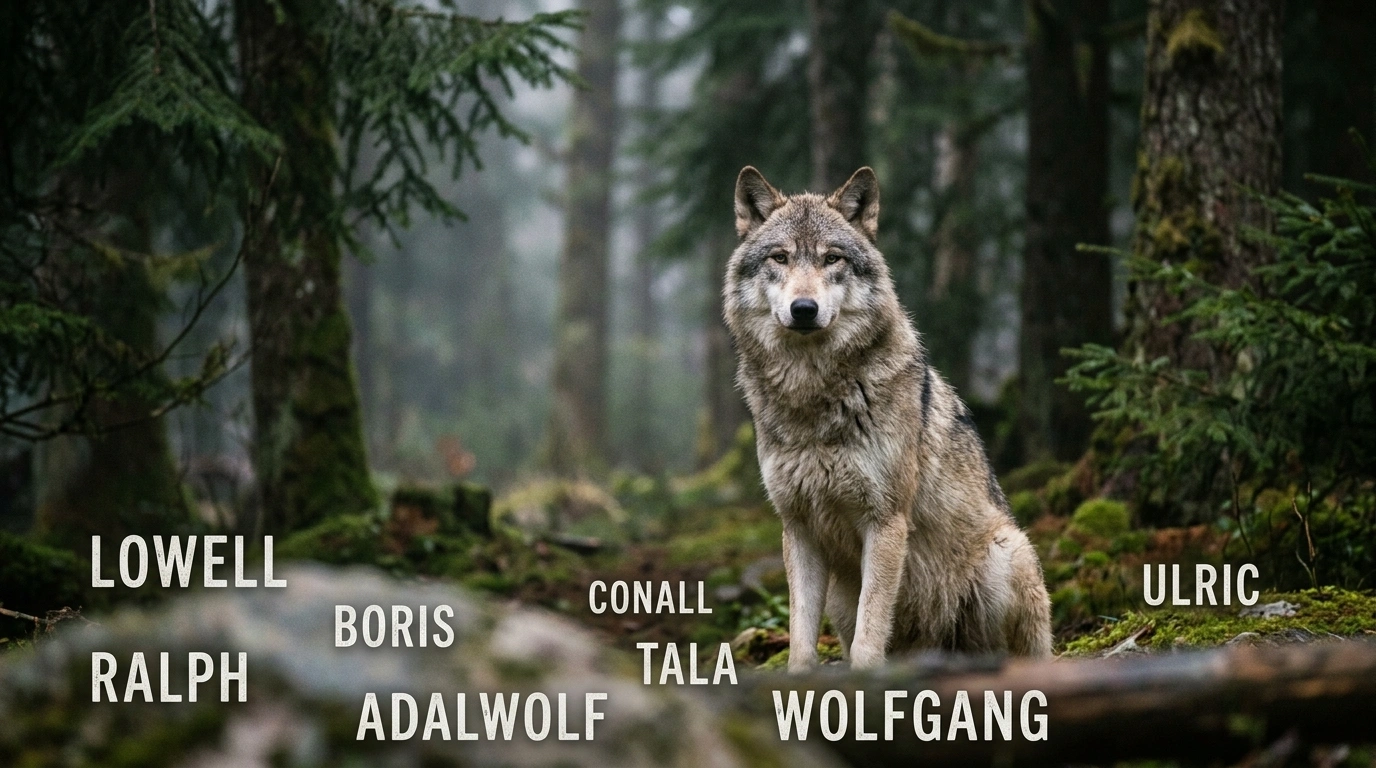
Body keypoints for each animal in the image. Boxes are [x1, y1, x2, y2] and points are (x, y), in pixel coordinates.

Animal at [724, 166, 1052, 670]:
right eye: (780, 257)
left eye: (832, 258)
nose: (804, 309)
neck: (813, 396)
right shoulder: (798, 529)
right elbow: (801, 641)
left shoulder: (885, 522)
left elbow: (868, 637)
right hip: (842, 596)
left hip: (1005, 555)